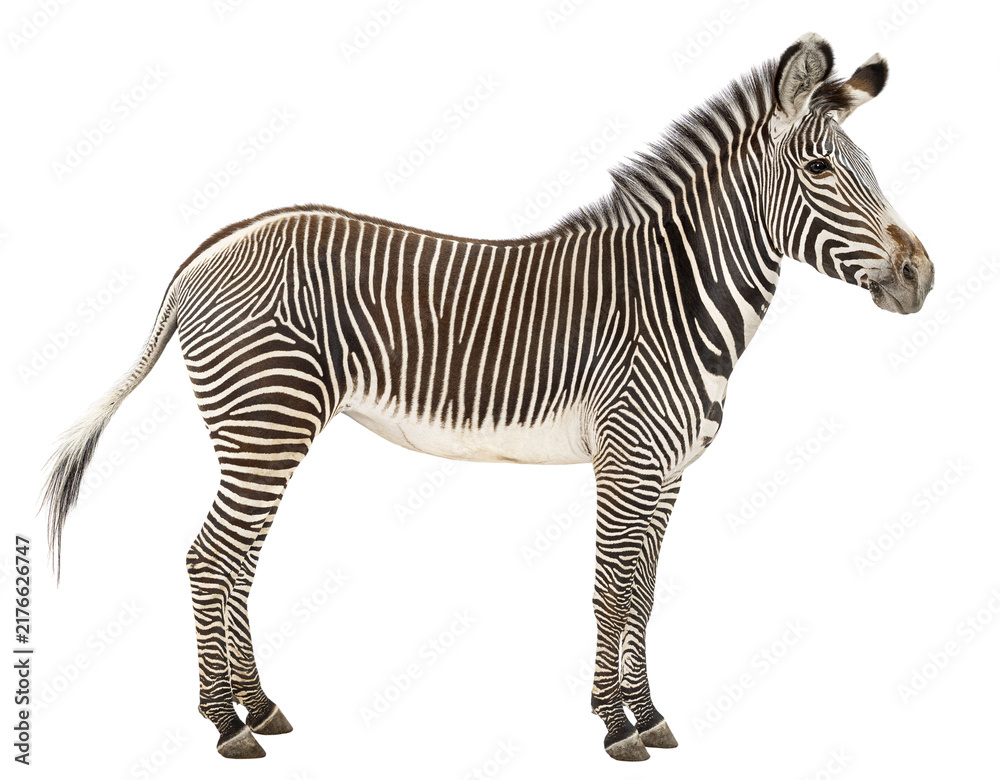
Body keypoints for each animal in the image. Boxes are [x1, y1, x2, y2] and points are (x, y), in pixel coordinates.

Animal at [43, 33, 933, 762]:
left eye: (870, 170)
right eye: (820, 171)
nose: (922, 276)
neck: (678, 300)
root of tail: (211, 248)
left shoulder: (669, 472)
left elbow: (644, 594)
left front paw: (648, 715)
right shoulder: (628, 461)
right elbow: (612, 590)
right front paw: (614, 725)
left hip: (261, 428)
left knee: (235, 558)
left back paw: (259, 707)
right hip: (267, 419)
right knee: (211, 555)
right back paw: (226, 724)